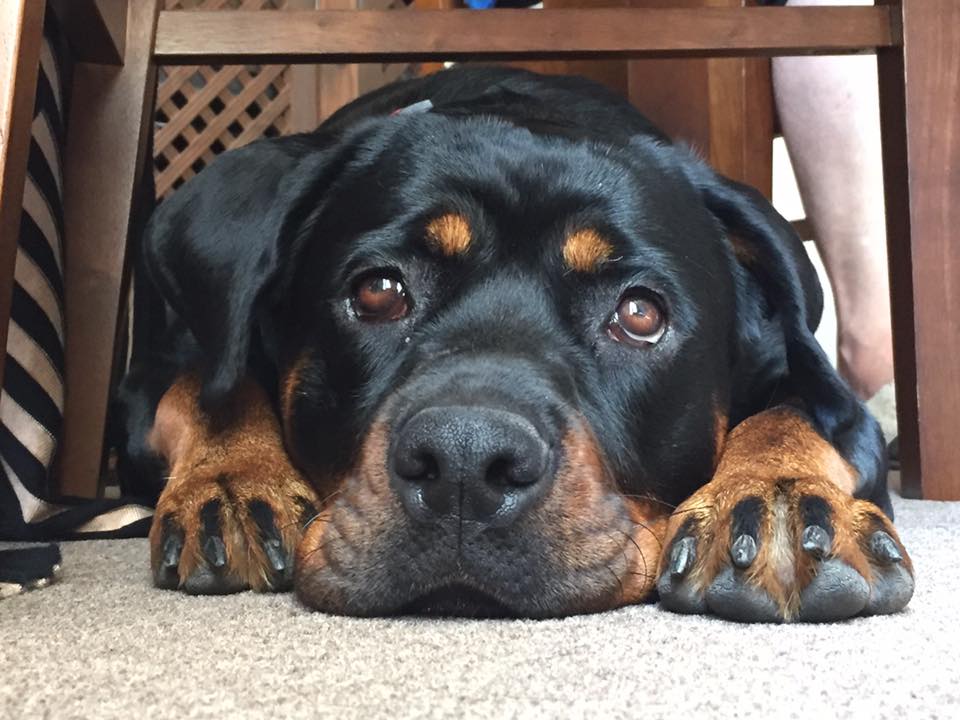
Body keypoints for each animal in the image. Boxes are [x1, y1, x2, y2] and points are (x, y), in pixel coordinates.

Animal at [118, 66, 916, 620]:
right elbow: (204, 388)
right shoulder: (153, 376)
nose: (465, 464)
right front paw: (233, 479)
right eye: (378, 292)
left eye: (640, 314)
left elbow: (795, 416)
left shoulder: (828, 396)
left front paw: (779, 503)